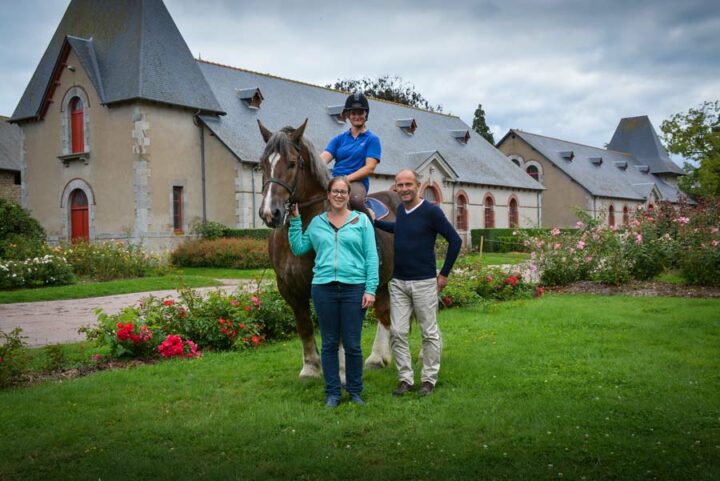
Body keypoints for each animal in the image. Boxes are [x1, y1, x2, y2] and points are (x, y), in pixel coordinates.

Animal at [256, 120, 400, 378]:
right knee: (383, 312)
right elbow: (305, 326)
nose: (270, 213)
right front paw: (311, 368)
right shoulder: (289, 288)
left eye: (292, 163)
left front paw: (341, 372)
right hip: (382, 281)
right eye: (262, 163)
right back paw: (377, 358)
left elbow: (337, 330)